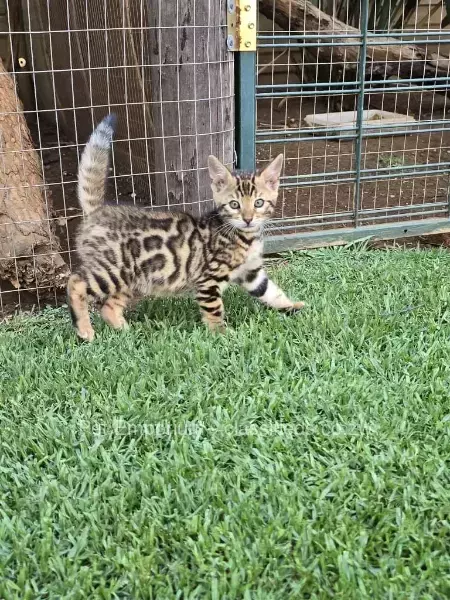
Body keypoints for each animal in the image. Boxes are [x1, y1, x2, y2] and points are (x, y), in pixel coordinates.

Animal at [67, 112, 306, 338]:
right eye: (234, 204)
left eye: (258, 203)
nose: (248, 219)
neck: (244, 237)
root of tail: (98, 211)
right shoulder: (209, 279)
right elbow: (214, 311)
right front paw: (222, 335)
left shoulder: (252, 273)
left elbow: (271, 292)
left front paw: (292, 306)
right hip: (114, 269)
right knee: (75, 283)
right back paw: (84, 329)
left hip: (135, 277)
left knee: (109, 306)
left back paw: (126, 330)